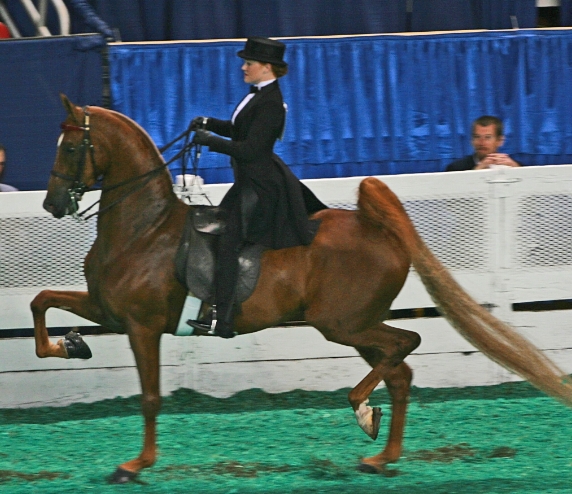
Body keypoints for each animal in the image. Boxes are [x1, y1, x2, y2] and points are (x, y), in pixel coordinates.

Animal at [32, 95, 572, 482]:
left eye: (72, 147)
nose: (53, 204)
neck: (143, 229)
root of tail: (378, 228)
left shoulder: (142, 326)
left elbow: (149, 397)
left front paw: (134, 466)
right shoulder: (108, 310)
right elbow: (42, 304)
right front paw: (72, 345)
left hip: (342, 324)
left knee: (406, 344)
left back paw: (361, 410)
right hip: (354, 327)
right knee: (398, 371)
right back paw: (381, 455)